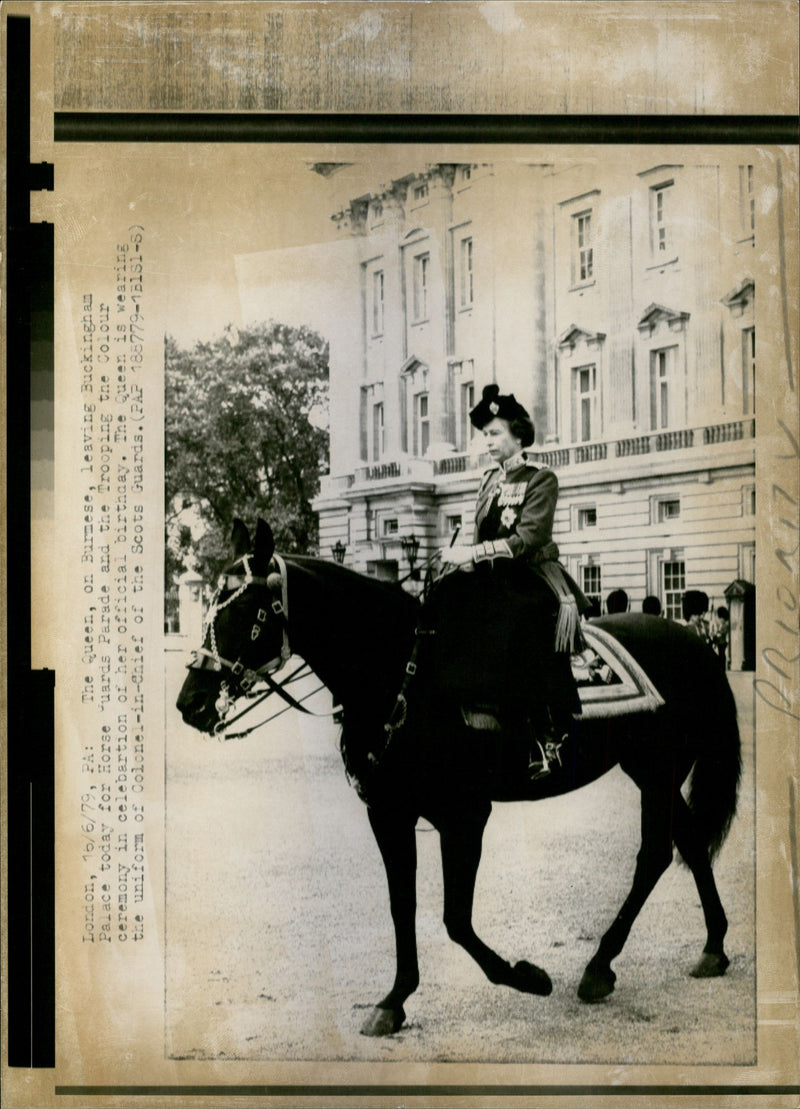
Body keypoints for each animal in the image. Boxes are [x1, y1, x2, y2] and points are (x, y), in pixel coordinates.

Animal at [177, 519, 741, 1038]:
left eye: (245, 610)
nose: (190, 703)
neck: (402, 675)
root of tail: (691, 641)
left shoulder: (464, 815)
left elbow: (455, 919)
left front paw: (526, 976)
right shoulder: (389, 814)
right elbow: (402, 905)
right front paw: (395, 999)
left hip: (658, 770)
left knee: (655, 854)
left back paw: (601, 966)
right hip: (651, 771)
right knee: (689, 844)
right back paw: (712, 946)